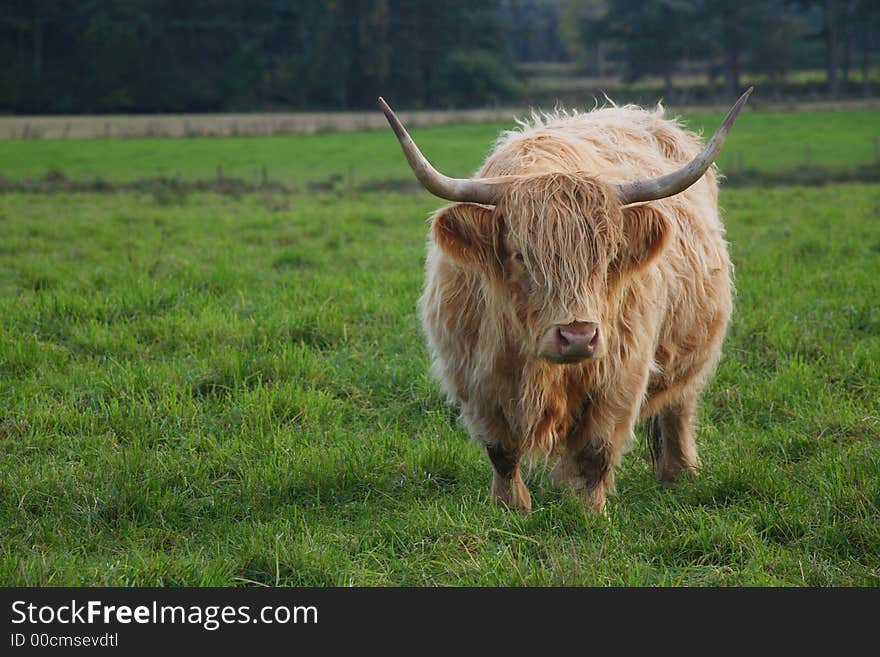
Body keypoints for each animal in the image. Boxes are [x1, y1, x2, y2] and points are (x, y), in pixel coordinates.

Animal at [376, 88, 748, 512]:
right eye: (520, 255)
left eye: (608, 255)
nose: (578, 336)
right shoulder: (474, 377)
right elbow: (501, 451)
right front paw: (510, 507)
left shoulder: (620, 375)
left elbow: (595, 452)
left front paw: (590, 512)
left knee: (679, 405)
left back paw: (680, 473)